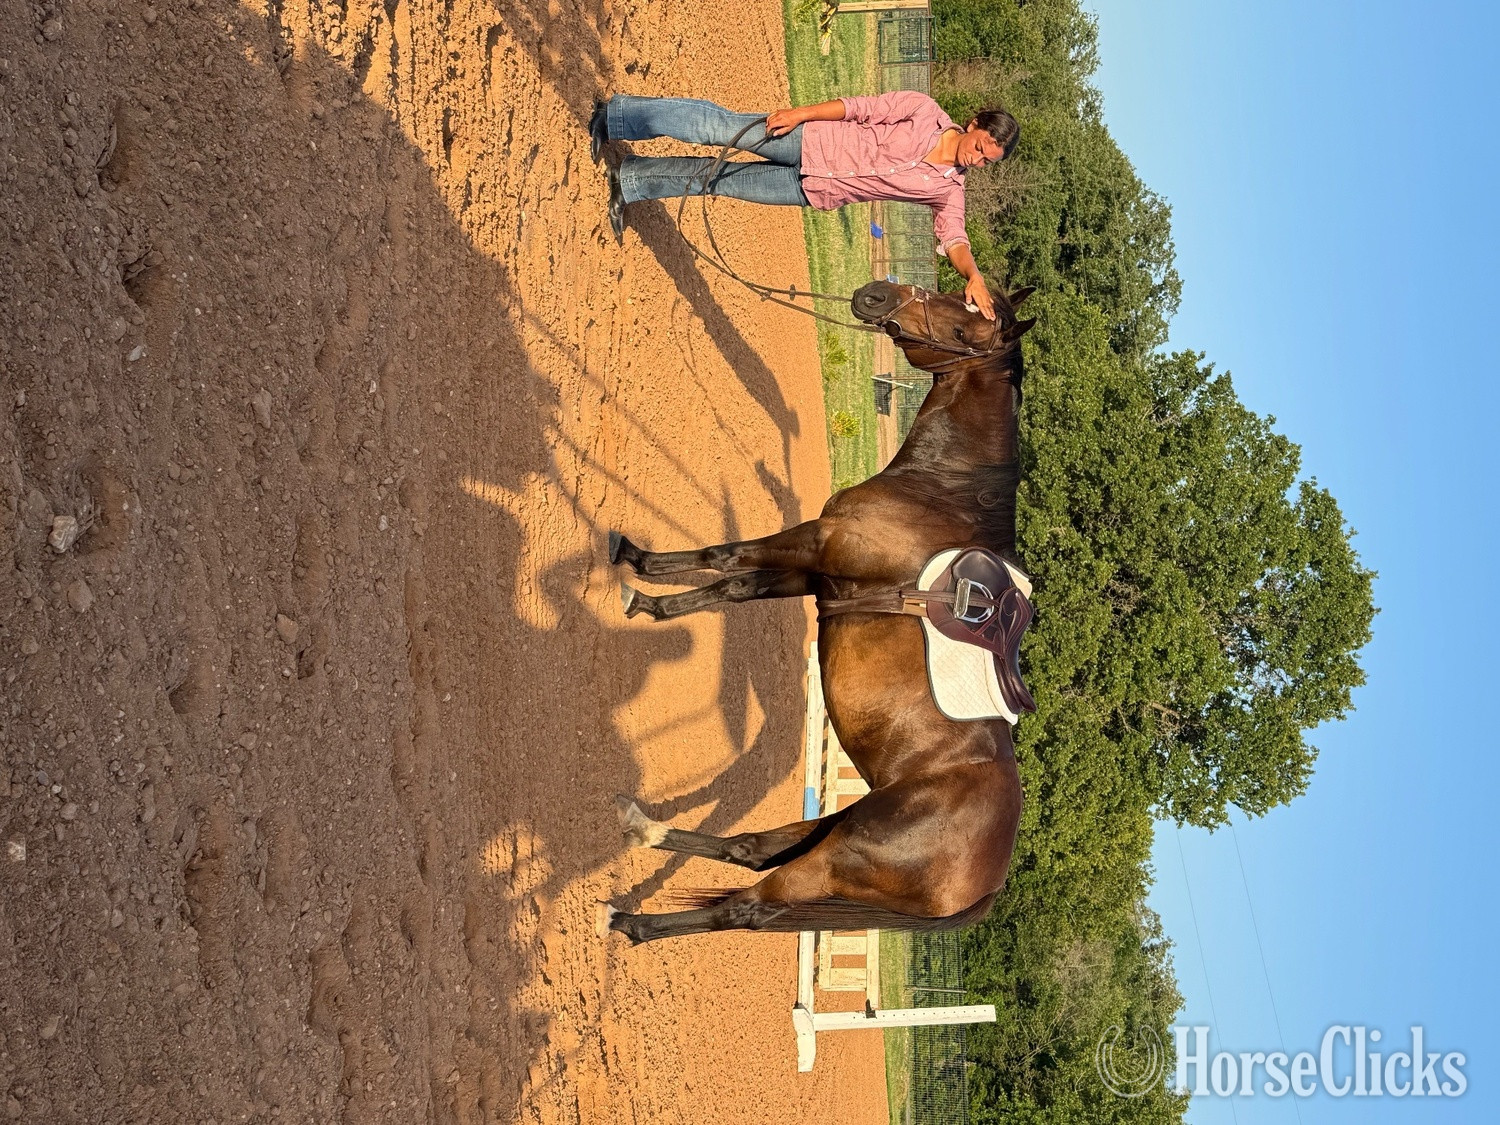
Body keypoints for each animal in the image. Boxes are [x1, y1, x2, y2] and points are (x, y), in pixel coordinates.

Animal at [601, 279, 1037, 945]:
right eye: (954, 291)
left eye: (967, 330)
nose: (878, 295)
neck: (941, 493)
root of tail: (985, 883)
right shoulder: (813, 573)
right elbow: (731, 584)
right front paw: (647, 593)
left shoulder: (815, 543)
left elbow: (728, 556)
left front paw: (633, 564)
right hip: (832, 828)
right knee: (753, 849)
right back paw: (641, 826)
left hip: (836, 861)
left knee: (747, 909)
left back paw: (631, 922)